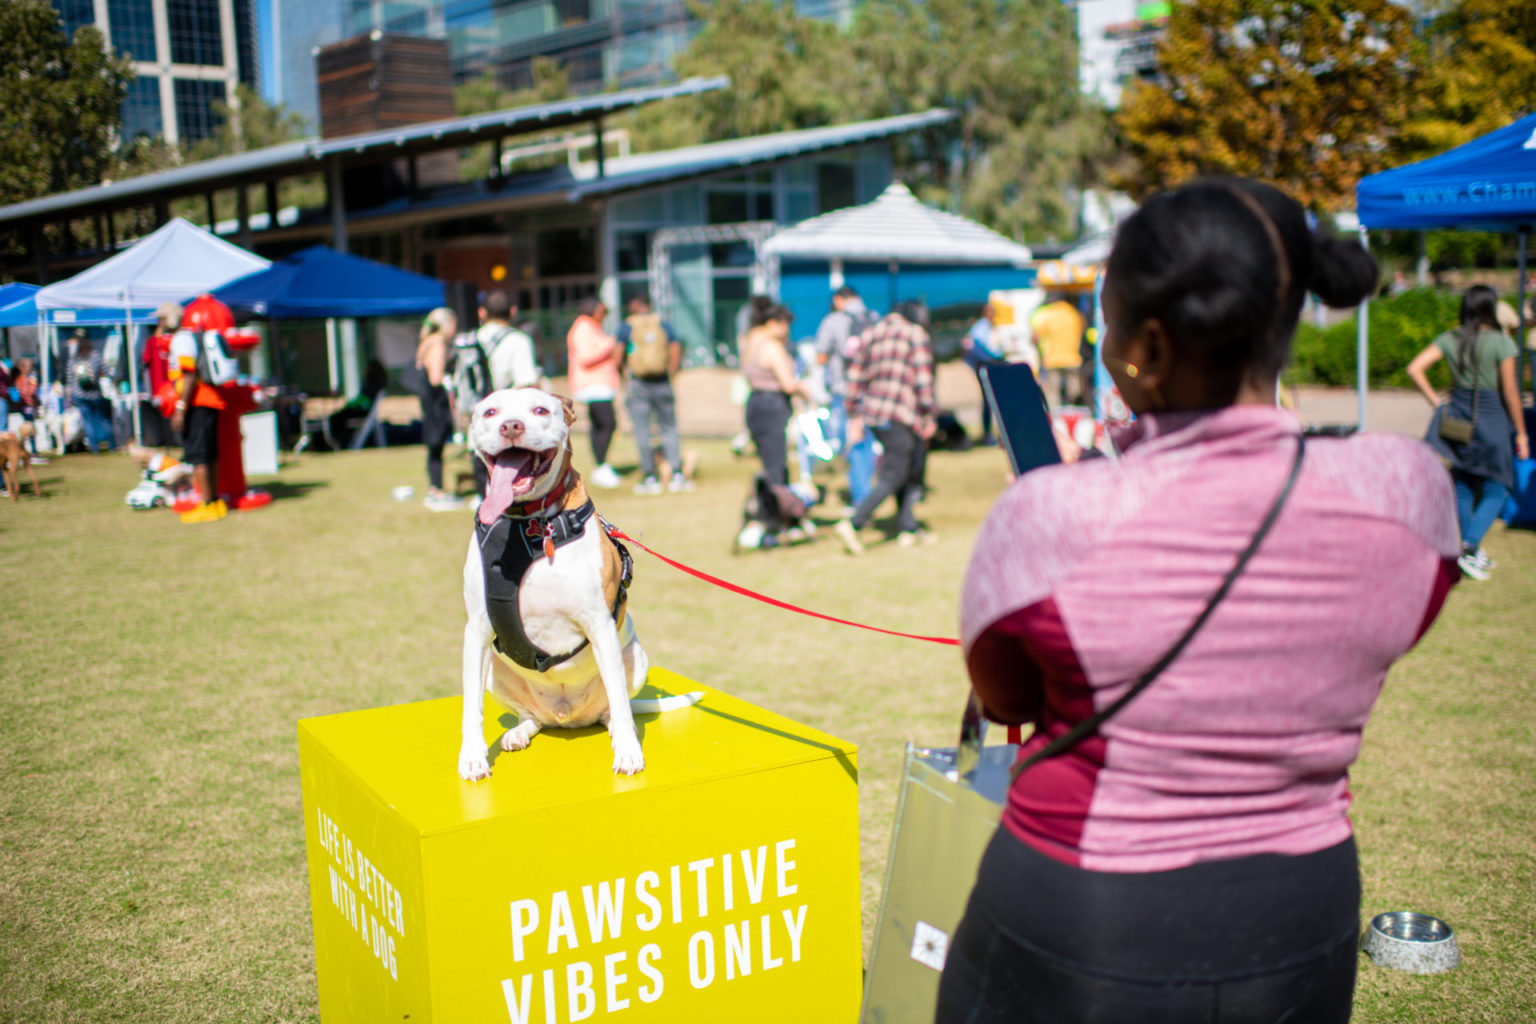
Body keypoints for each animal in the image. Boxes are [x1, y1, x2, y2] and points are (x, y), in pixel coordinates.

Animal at [454, 388, 691, 779]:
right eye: (490, 412)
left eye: (540, 410)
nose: (511, 426)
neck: (529, 526)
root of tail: (566, 716)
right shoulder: (477, 630)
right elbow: (471, 707)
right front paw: (472, 757)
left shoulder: (600, 624)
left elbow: (620, 702)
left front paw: (629, 752)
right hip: (497, 675)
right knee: (531, 717)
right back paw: (519, 732)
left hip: (634, 657)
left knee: (615, 707)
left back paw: (618, 729)